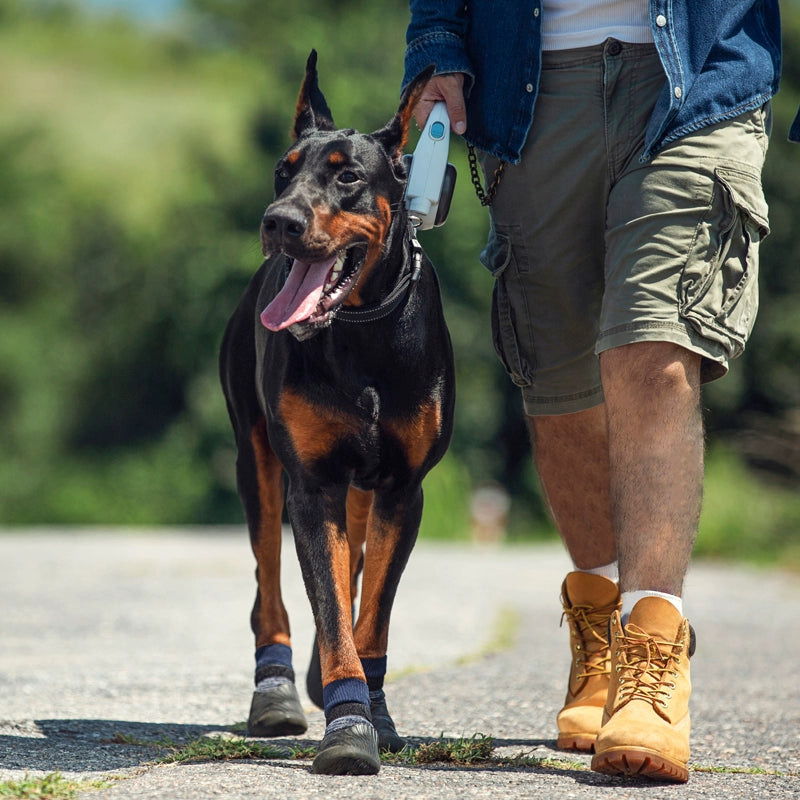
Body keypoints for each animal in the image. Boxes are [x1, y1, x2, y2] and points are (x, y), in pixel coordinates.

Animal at [219, 51, 456, 776]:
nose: (279, 221)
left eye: (348, 175)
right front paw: (350, 724)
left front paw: (372, 711)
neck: (361, 330)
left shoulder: (403, 488)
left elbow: (369, 610)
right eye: (283, 169)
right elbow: (327, 602)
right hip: (257, 460)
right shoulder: (312, 483)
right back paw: (277, 689)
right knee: (269, 584)